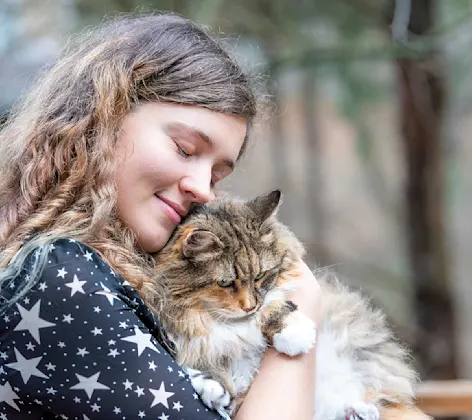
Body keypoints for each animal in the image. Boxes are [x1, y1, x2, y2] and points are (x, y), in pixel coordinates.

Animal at [147, 191, 432, 420]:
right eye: (226, 283)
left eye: (261, 276)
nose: (249, 306)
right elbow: (209, 359)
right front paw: (211, 385)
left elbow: (271, 307)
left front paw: (292, 334)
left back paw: (361, 412)